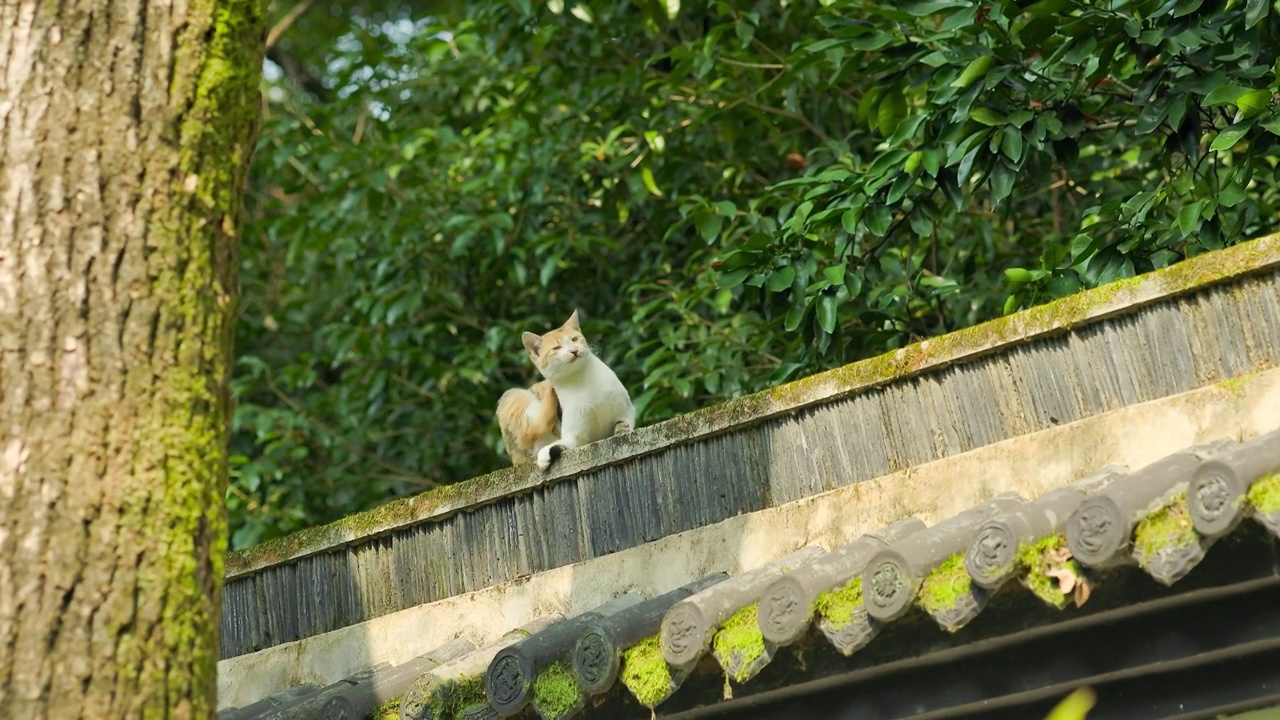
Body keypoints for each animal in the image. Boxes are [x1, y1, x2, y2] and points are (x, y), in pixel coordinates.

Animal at [494, 310, 634, 471]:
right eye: (556, 348)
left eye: (574, 339)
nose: (574, 350)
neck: (581, 380)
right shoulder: (574, 436)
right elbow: (564, 443)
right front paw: (545, 456)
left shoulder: (626, 411)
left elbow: (623, 428)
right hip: (512, 396)